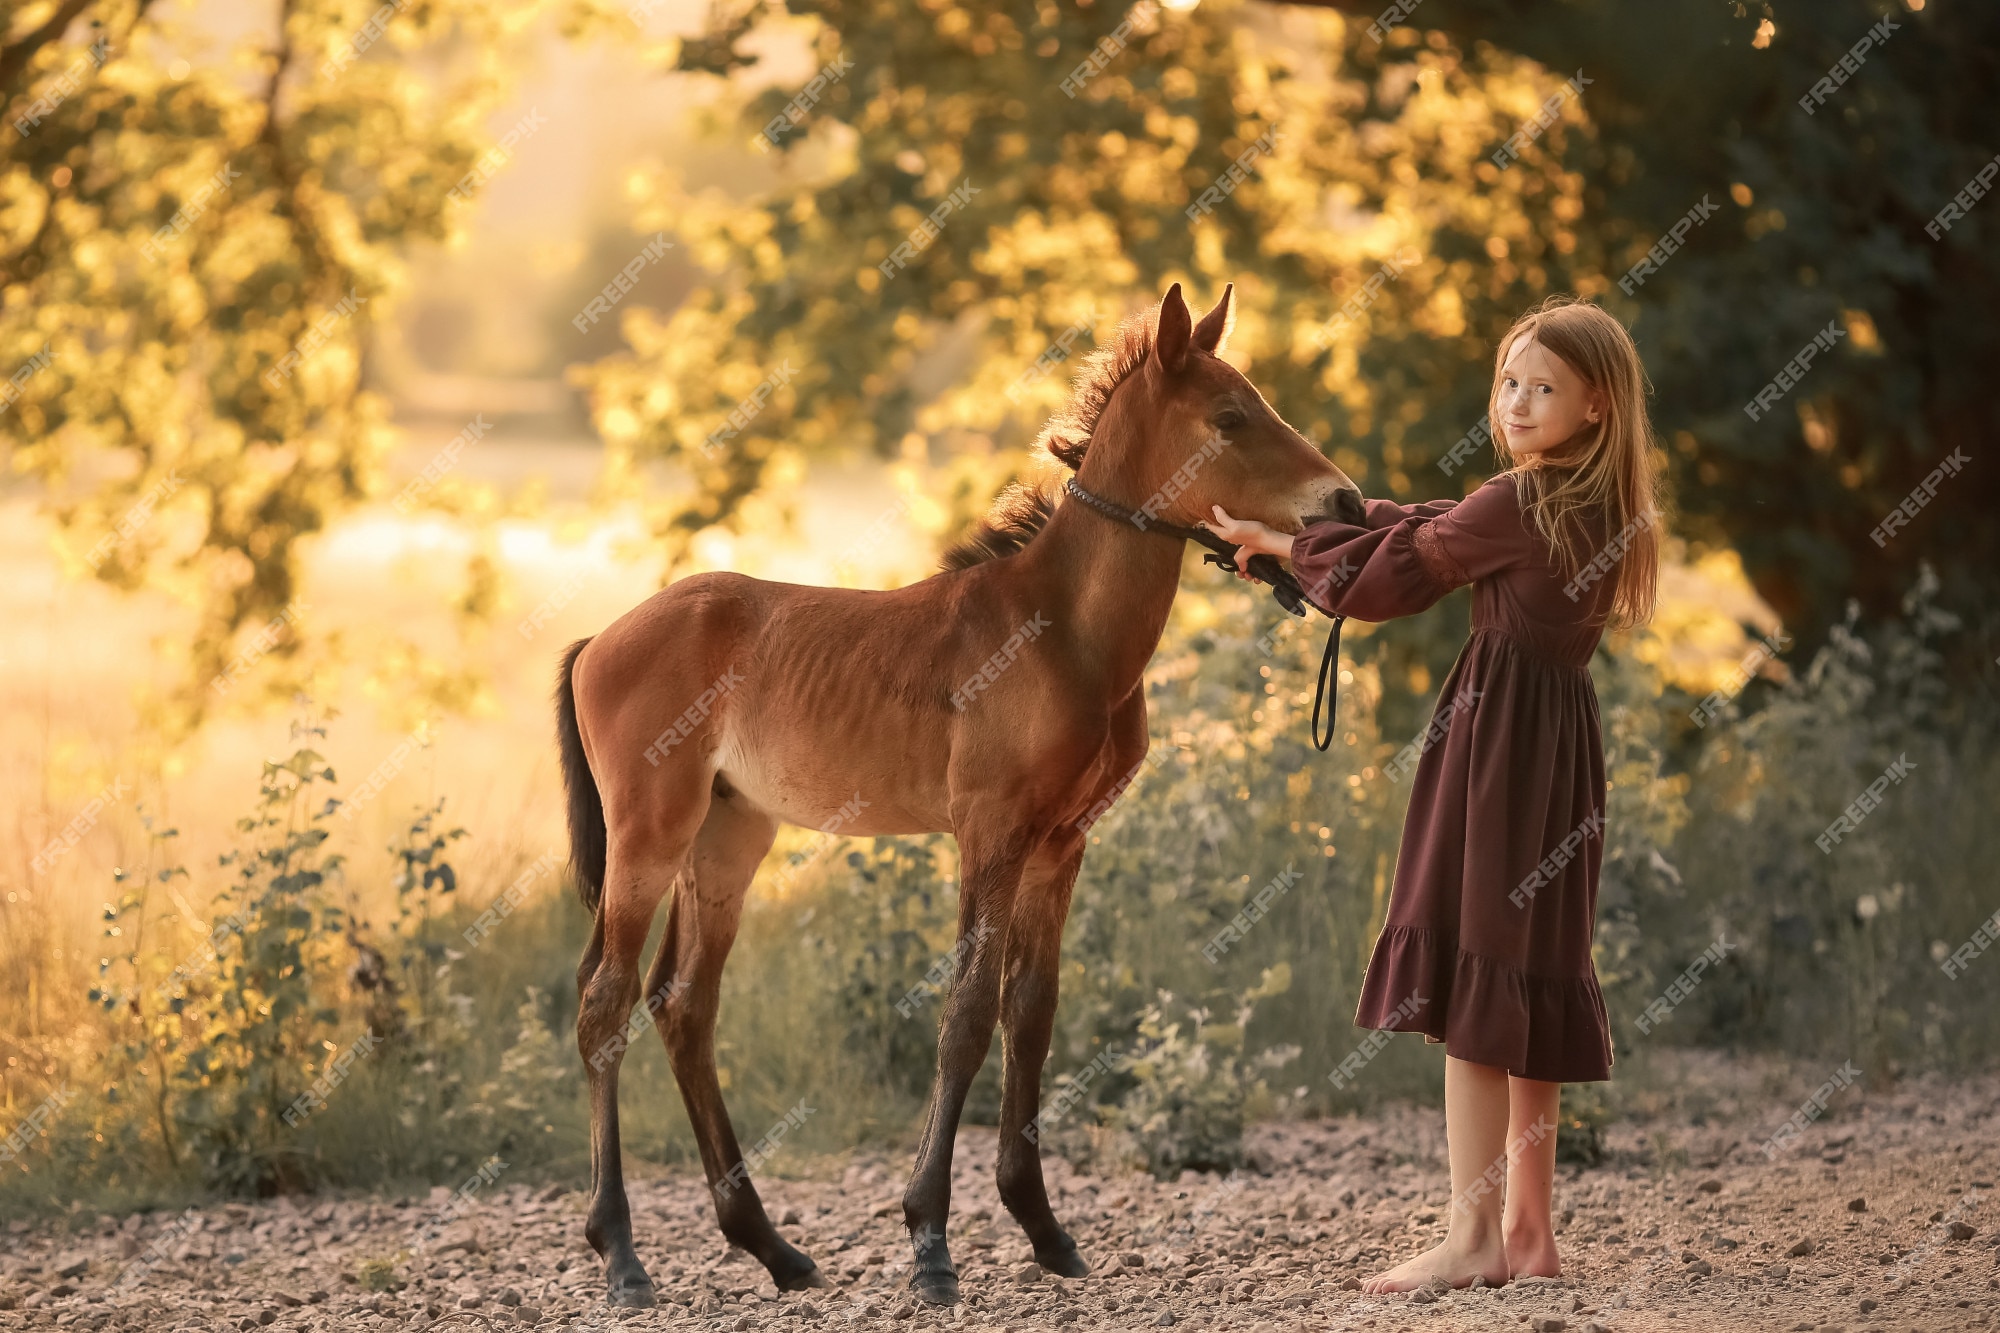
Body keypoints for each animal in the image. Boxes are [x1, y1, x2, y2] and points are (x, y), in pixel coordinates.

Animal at [552, 274, 1360, 1304]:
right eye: (1229, 417)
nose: (1346, 500)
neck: (1060, 631)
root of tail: (599, 640)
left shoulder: (1061, 842)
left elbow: (1031, 1013)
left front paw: (1044, 1228)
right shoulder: (989, 830)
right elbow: (967, 1013)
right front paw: (930, 1241)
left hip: (729, 838)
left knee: (683, 1005)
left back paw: (771, 1247)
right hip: (650, 831)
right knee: (605, 1003)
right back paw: (621, 1252)